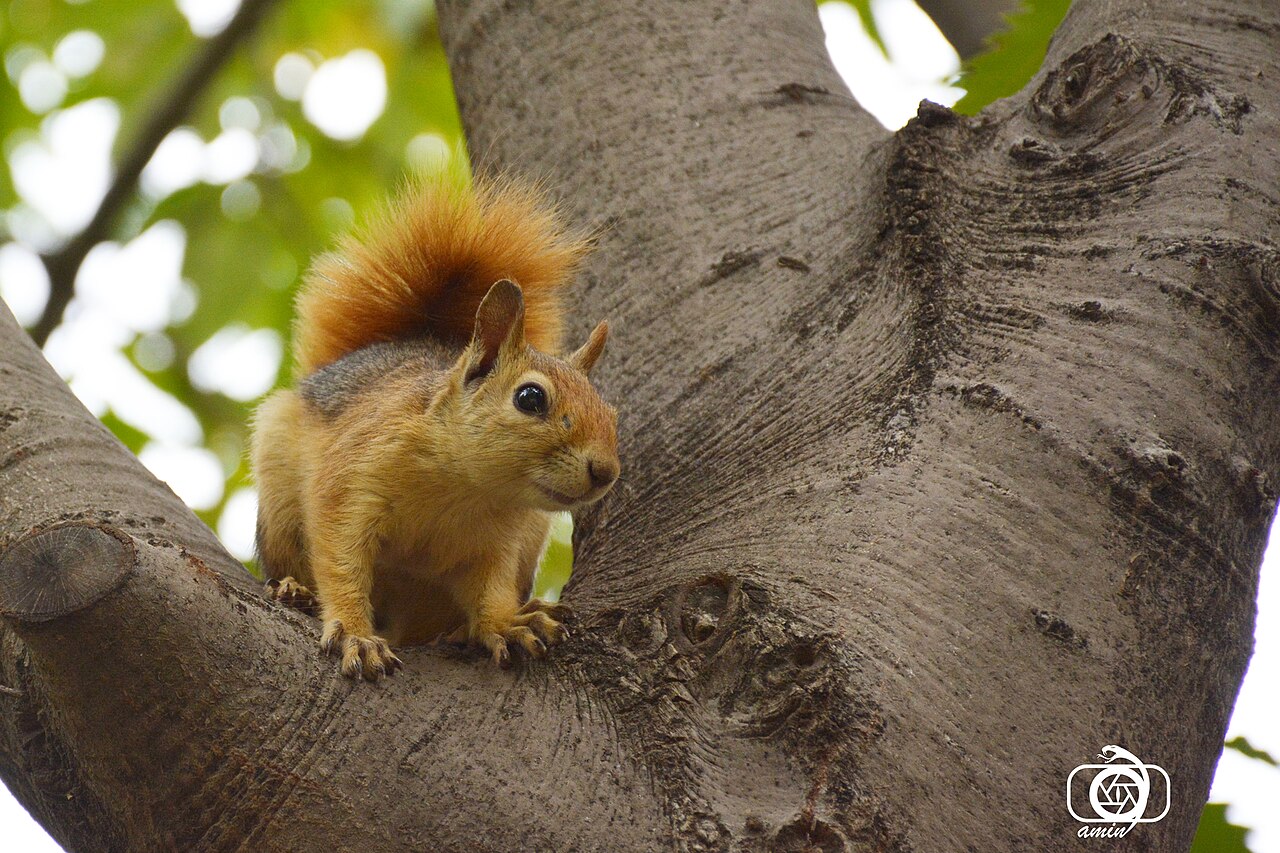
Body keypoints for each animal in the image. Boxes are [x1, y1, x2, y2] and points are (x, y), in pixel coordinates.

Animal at [250, 170, 619, 680]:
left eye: (612, 413)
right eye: (530, 398)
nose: (605, 472)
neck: (465, 486)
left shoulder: (500, 543)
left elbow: (491, 587)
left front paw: (504, 625)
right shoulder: (350, 480)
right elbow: (341, 559)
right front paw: (354, 634)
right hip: (279, 499)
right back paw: (293, 589)